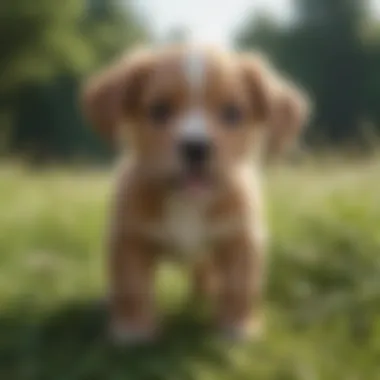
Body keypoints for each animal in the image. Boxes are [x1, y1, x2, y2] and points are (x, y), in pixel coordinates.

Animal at [81, 44, 310, 344]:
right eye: (159, 110)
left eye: (232, 113)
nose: (196, 147)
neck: (189, 202)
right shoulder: (130, 239)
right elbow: (132, 288)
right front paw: (134, 329)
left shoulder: (240, 239)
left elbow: (240, 286)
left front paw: (237, 327)